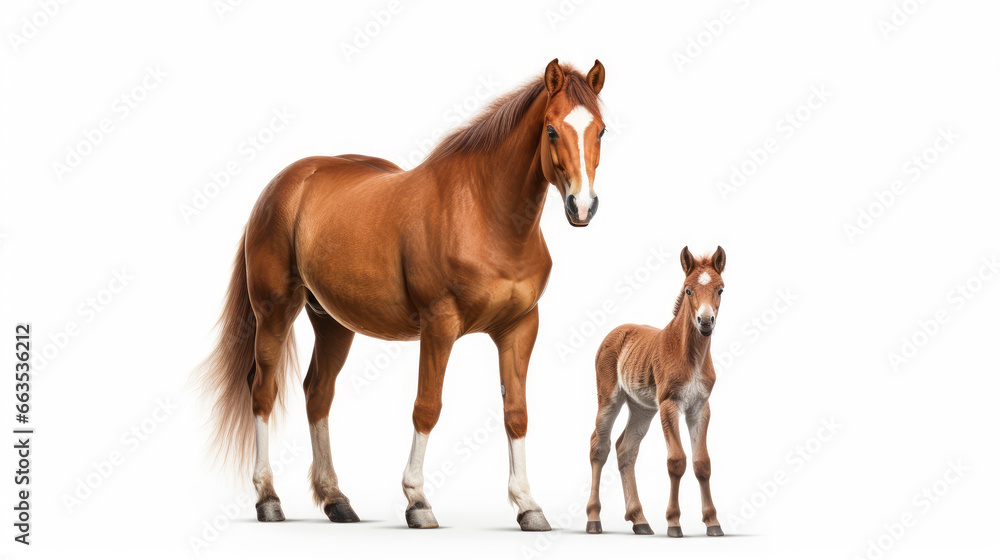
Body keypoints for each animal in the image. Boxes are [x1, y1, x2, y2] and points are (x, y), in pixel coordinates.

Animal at [196, 59, 608, 531]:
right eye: (552, 129)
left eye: (601, 130)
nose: (582, 206)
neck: (486, 214)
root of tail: (281, 185)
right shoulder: (439, 324)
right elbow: (427, 406)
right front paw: (417, 500)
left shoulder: (520, 328)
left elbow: (516, 414)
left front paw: (528, 505)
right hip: (275, 310)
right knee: (264, 392)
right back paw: (268, 498)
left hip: (332, 321)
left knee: (318, 393)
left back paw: (336, 500)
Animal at [585, 246, 727, 537]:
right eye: (688, 290)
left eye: (720, 290)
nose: (706, 321)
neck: (691, 357)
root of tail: (616, 331)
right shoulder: (669, 404)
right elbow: (677, 460)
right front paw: (673, 522)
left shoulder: (700, 407)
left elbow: (702, 463)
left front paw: (713, 522)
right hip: (609, 400)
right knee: (599, 446)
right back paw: (594, 519)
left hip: (642, 408)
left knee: (625, 449)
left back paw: (639, 520)